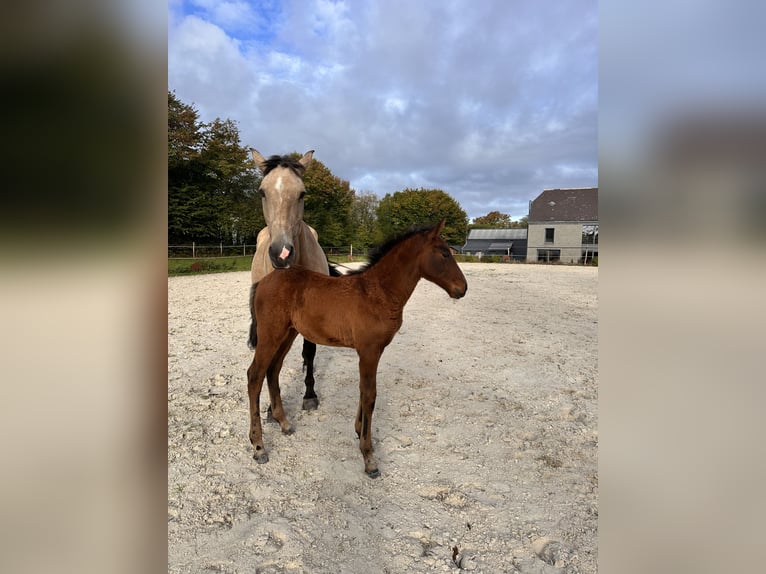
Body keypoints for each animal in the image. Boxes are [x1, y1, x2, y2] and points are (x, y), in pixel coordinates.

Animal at [246, 219, 468, 478]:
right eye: (444, 253)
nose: (462, 288)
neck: (378, 292)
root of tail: (263, 281)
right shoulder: (369, 350)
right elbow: (370, 395)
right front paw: (369, 457)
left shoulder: (371, 351)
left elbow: (364, 391)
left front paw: (358, 431)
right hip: (271, 334)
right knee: (255, 375)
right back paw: (259, 447)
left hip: (288, 333)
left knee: (273, 371)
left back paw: (284, 423)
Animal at [249, 148, 334, 411]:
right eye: (262, 192)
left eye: (302, 193)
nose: (282, 253)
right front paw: (271, 408)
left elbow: (309, 351)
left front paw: (309, 395)